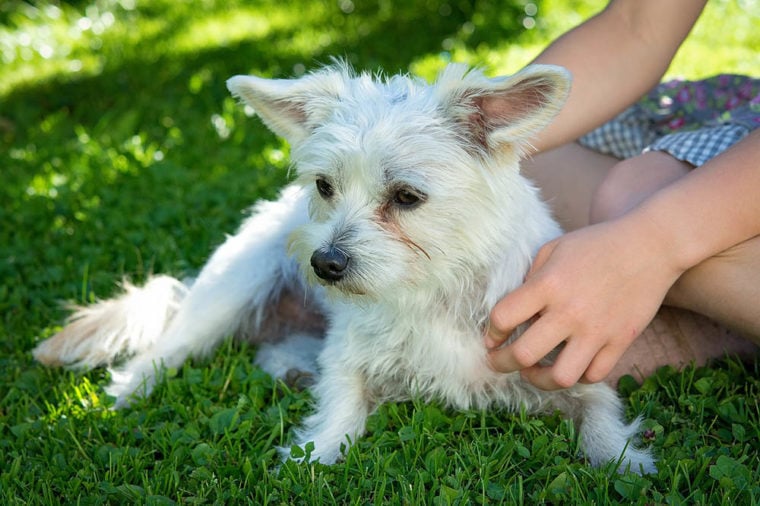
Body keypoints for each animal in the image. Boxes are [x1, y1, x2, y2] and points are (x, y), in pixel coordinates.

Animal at [34, 62, 652, 474]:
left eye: (407, 197)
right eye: (324, 186)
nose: (323, 264)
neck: (433, 288)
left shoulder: (569, 363)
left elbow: (602, 415)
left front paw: (623, 461)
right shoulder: (347, 361)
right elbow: (339, 414)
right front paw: (311, 460)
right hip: (228, 291)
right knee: (161, 354)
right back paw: (117, 400)